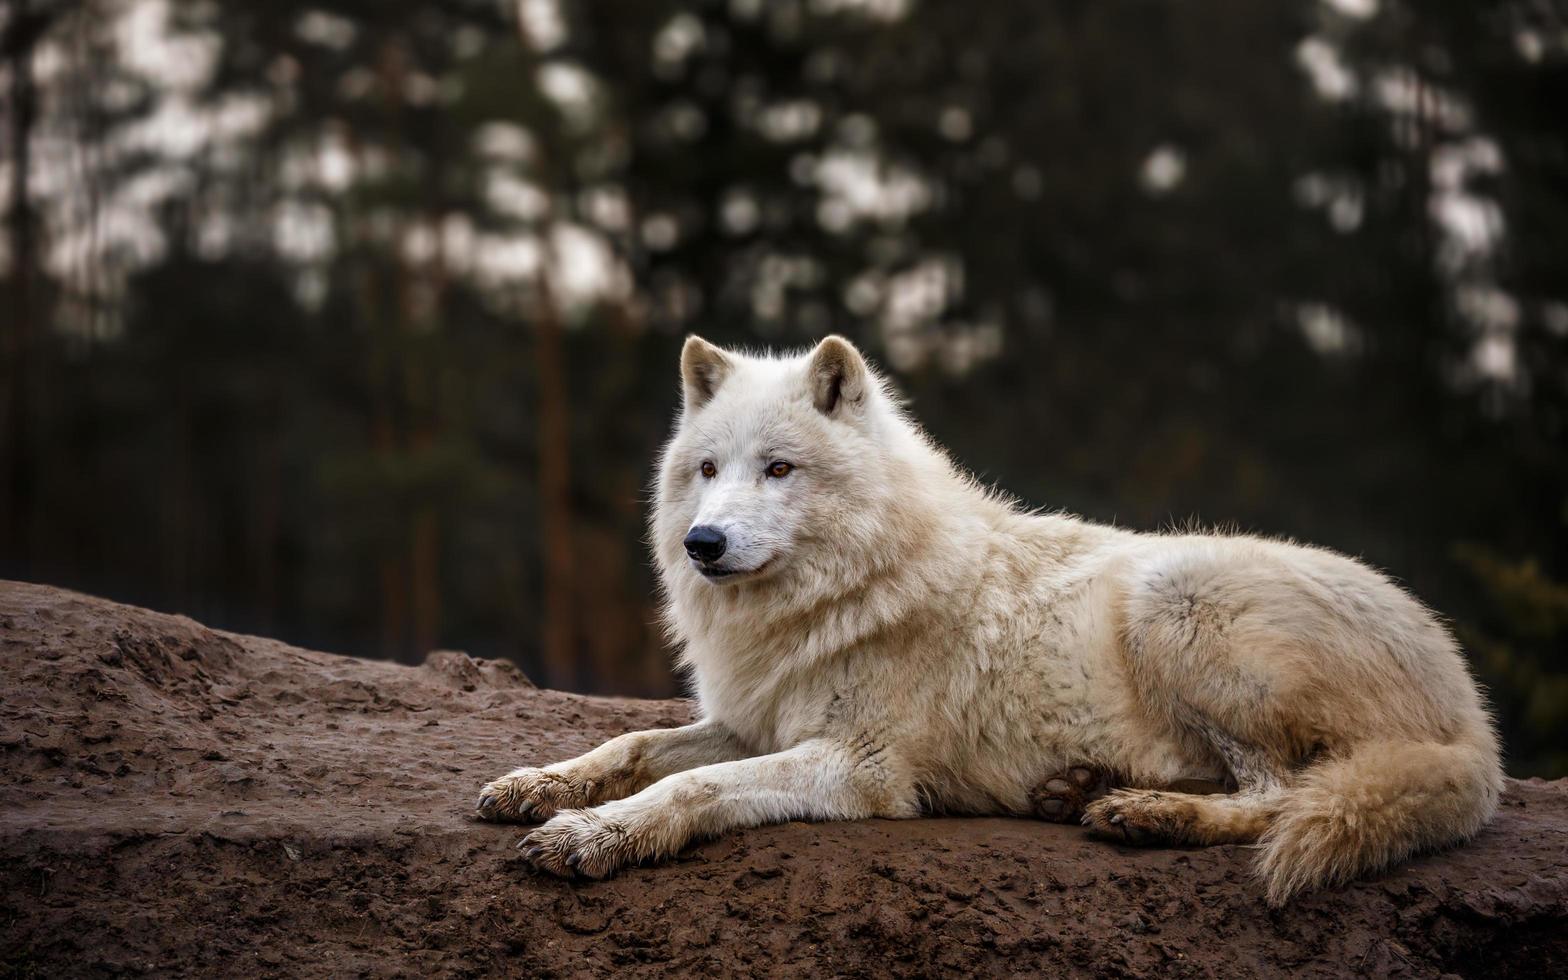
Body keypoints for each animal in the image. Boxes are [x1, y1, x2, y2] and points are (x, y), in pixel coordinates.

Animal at [476, 333, 1505, 903]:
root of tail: (1474, 722)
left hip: (1173, 597)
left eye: (778, 469)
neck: (838, 596)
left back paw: (1144, 813)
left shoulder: (862, 767)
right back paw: (1077, 789)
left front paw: (591, 837)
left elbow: (688, 787)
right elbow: (633, 747)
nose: (704, 543)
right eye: (706, 470)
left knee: (1276, 795)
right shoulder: (753, 721)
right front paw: (539, 785)